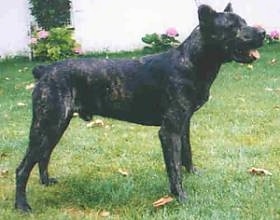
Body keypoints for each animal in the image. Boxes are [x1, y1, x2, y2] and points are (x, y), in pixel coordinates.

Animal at [15, 3, 264, 211]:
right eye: (232, 27)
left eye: (243, 21)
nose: (262, 33)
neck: (193, 60)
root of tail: (45, 70)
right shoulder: (169, 131)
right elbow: (174, 168)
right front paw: (180, 197)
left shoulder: (183, 125)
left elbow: (187, 153)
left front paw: (193, 173)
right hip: (47, 126)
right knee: (23, 168)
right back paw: (22, 206)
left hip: (55, 126)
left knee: (44, 156)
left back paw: (46, 182)